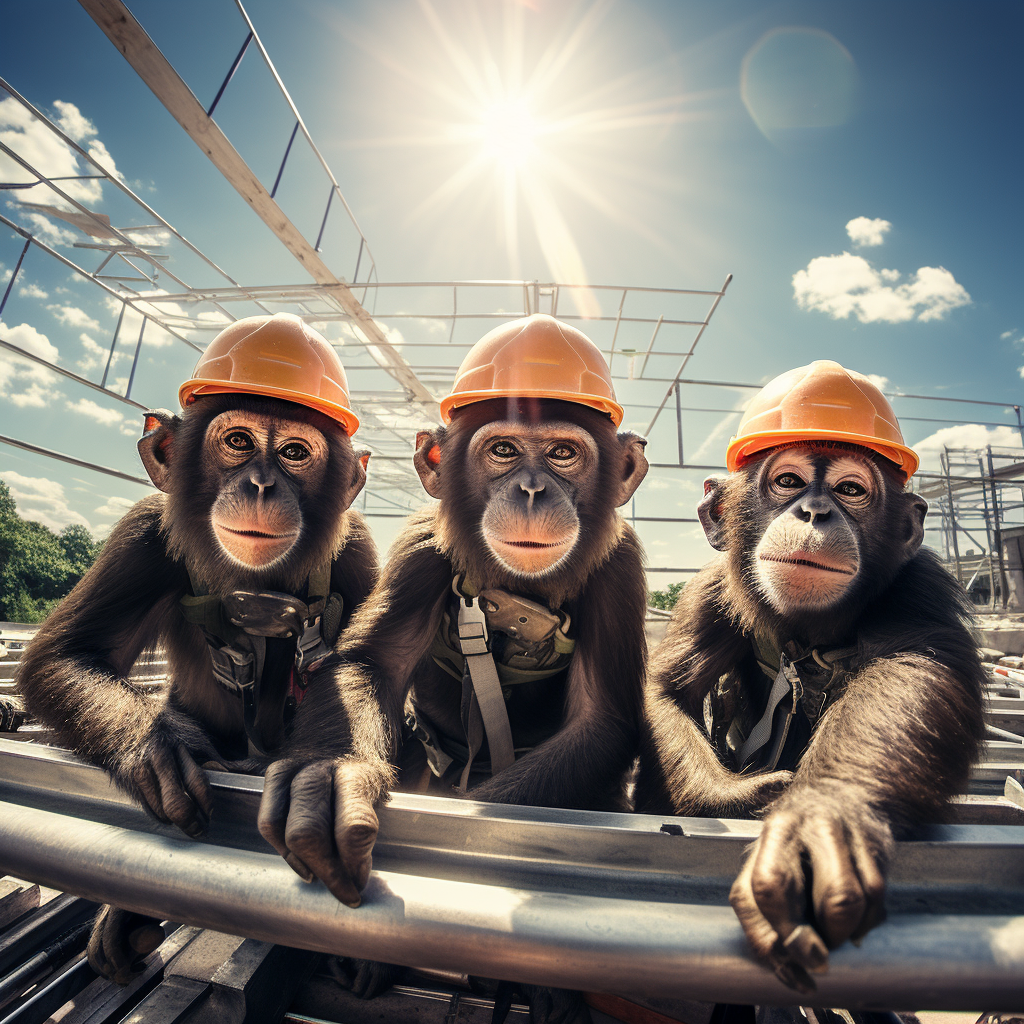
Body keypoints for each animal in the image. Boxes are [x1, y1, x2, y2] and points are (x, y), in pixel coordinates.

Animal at [18, 313, 380, 983]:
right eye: (237, 440)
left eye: (295, 452)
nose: (261, 484)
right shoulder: (141, 533)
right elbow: (68, 652)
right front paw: (156, 745)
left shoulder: (361, 550)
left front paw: (333, 772)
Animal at [638, 360, 983, 991]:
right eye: (789, 481)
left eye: (850, 489)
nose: (814, 511)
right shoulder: (708, 591)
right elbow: (667, 689)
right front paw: (732, 796)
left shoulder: (920, 586)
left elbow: (911, 672)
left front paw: (827, 812)